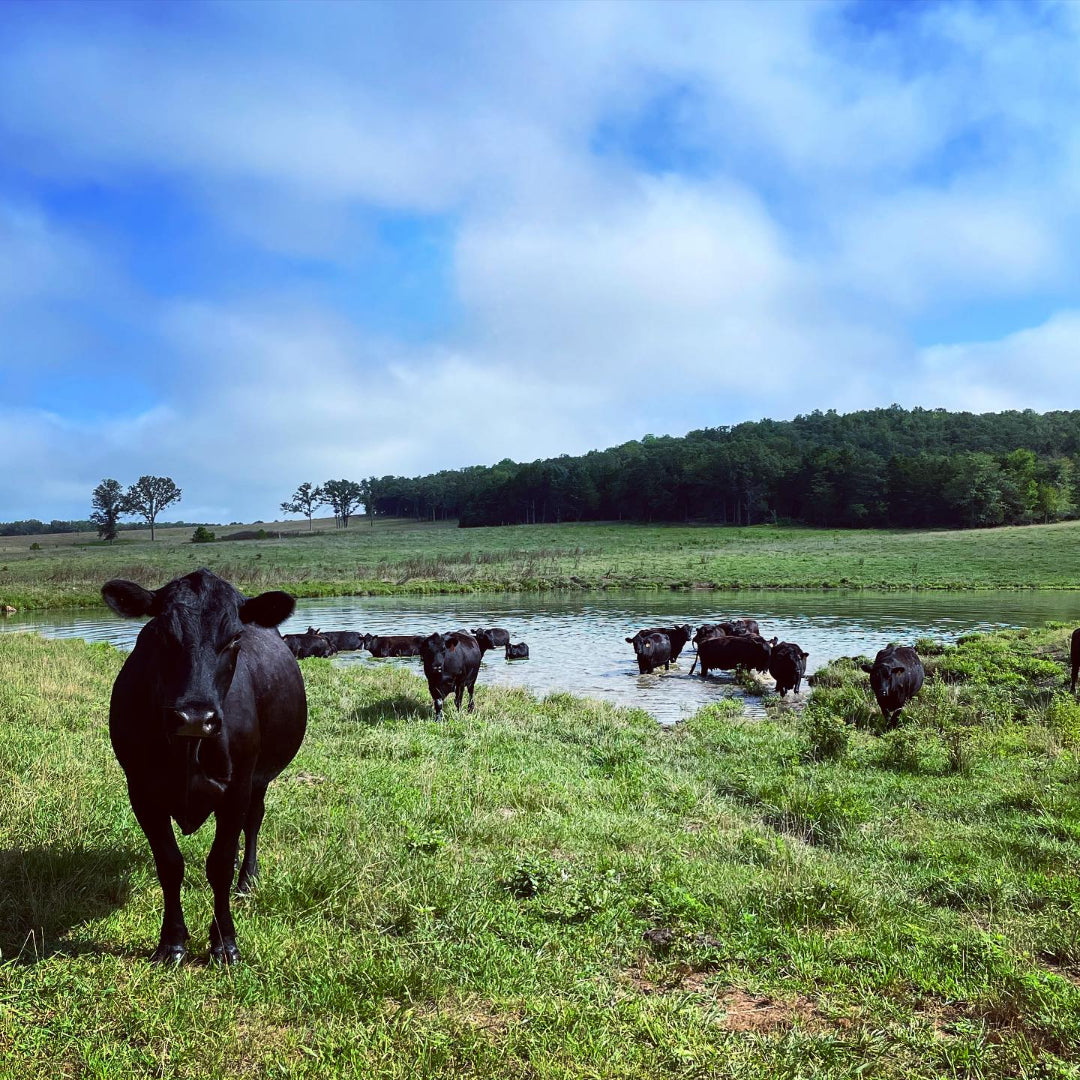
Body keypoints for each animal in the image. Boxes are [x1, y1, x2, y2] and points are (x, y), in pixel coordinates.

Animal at [101, 570, 306, 967]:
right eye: (161, 633)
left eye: (235, 637)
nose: (195, 717)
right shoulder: (141, 792)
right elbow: (169, 864)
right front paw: (171, 942)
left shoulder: (237, 787)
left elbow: (219, 864)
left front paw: (224, 942)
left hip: (259, 780)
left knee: (253, 821)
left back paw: (247, 879)